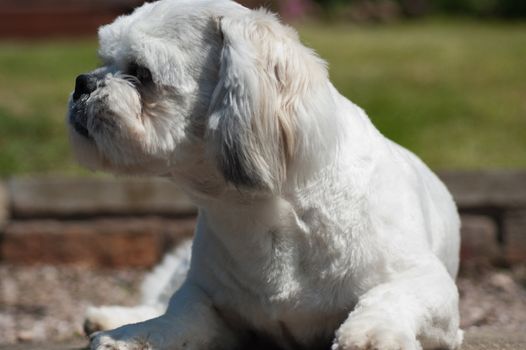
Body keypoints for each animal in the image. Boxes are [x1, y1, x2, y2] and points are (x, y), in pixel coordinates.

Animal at [68, 0, 464, 350]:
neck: (262, 210)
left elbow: (390, 297)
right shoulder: (207, 300)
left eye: (141, 74)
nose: (82, 81)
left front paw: (372, 334)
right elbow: (176, 317)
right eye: (104, 61)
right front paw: (132, 336)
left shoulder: (428, 285)